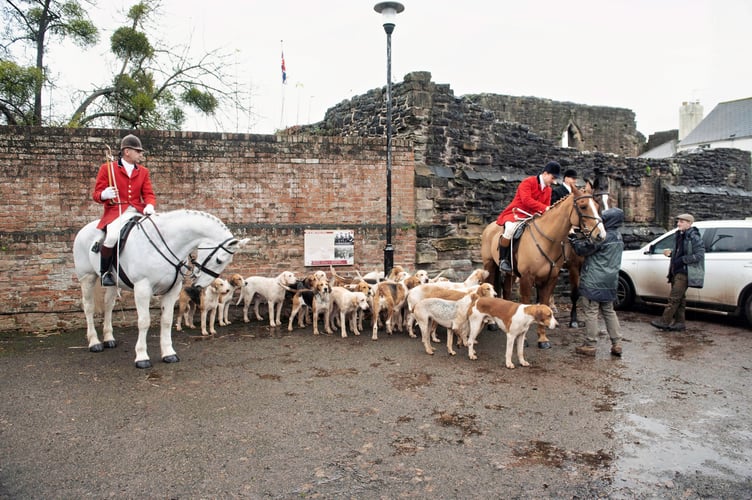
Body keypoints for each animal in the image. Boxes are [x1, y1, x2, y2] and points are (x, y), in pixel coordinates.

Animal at [71, 209, 248, 370]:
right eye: (219, 260)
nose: (198, 285)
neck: (166, 244)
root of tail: (85, 228)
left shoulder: (172, 290)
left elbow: (167, 320)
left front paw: (168, 353)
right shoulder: (142, 289)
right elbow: (144, 322)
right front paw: (142, 356)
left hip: (113, 283)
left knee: (108, 306)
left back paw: (109, 338)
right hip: (87, 278)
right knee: (88, 307)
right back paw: (94, 342)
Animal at [482, 187, 604, 348]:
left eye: (597, 206)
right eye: (583, 206)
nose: (601, 235)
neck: (548, 240)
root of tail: (491, 226)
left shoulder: (551, 277)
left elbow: (545, 302)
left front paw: (543, 338)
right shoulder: (528, 277)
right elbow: (527, 303)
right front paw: (524, 339)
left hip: (511, 272)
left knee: (506, 289)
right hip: (489, 264)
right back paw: (491, 324)